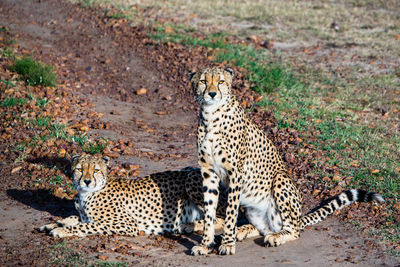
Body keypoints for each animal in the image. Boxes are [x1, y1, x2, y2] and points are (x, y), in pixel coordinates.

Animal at [38, 154, 256, 240]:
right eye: (80, 169)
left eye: (96, 170)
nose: (87, 181)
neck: (87, 195)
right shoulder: (84, 213)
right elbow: (75, 218)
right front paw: (54, 223)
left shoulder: (127, 224)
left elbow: (86, 226)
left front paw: (61, 230)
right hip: (189, 170)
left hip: (192, 177)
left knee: (221, 218)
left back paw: (186, 225)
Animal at [189, 66, 382, 255]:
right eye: (203, 81)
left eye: (221, 82)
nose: (212, 94)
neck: (211, 114)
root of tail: (299, 217)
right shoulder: (208, 172)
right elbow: (209, 210)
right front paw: (206, 244)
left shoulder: (236, 173)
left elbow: (230, 212)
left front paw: (228, 244)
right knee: (264, 228)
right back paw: (241, 231)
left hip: (280, 179)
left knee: (292, 230)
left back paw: (273, 237)